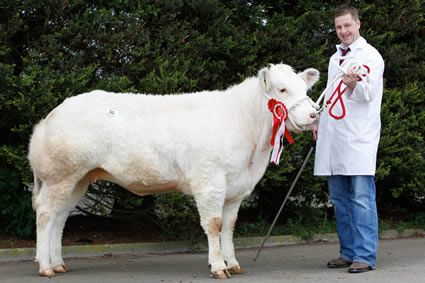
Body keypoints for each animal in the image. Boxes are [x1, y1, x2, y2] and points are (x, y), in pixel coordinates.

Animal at [29, 64, 318, 280]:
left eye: (305, 89)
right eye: (282, 89)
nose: (315, 114)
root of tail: (52, 115)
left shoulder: (237, 189)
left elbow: (229, 227)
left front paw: (233, 263)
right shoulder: (209, 182)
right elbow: (214, 225)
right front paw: (218, 267)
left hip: (79, 179)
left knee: (60, 218)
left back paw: (58, 264)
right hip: (60, 175)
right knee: (45, 214)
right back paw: (45, 266)